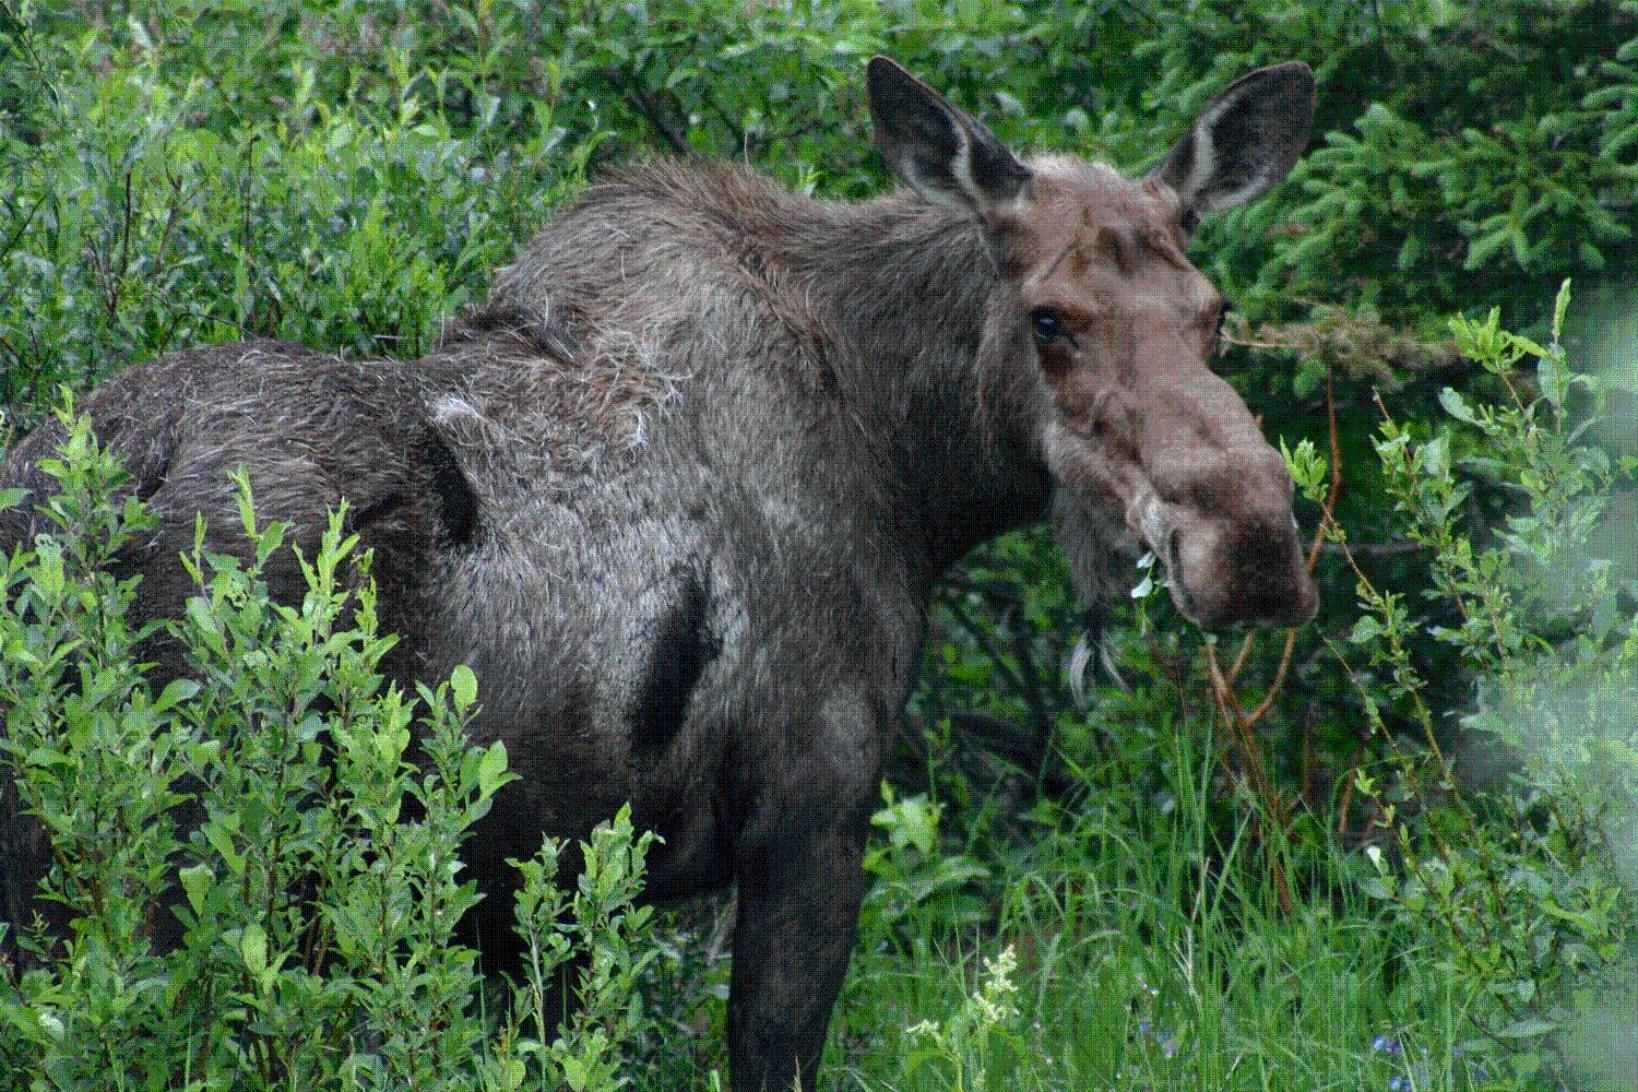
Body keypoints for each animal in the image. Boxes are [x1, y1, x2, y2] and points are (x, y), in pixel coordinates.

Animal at [3, 57, 1316, 1087]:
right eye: (1050, 318)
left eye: (1215, 310)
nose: (1251, 542)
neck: (913, 470)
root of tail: (82, 495)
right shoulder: (809, 815)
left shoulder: (565, 875)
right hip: (179, 857)